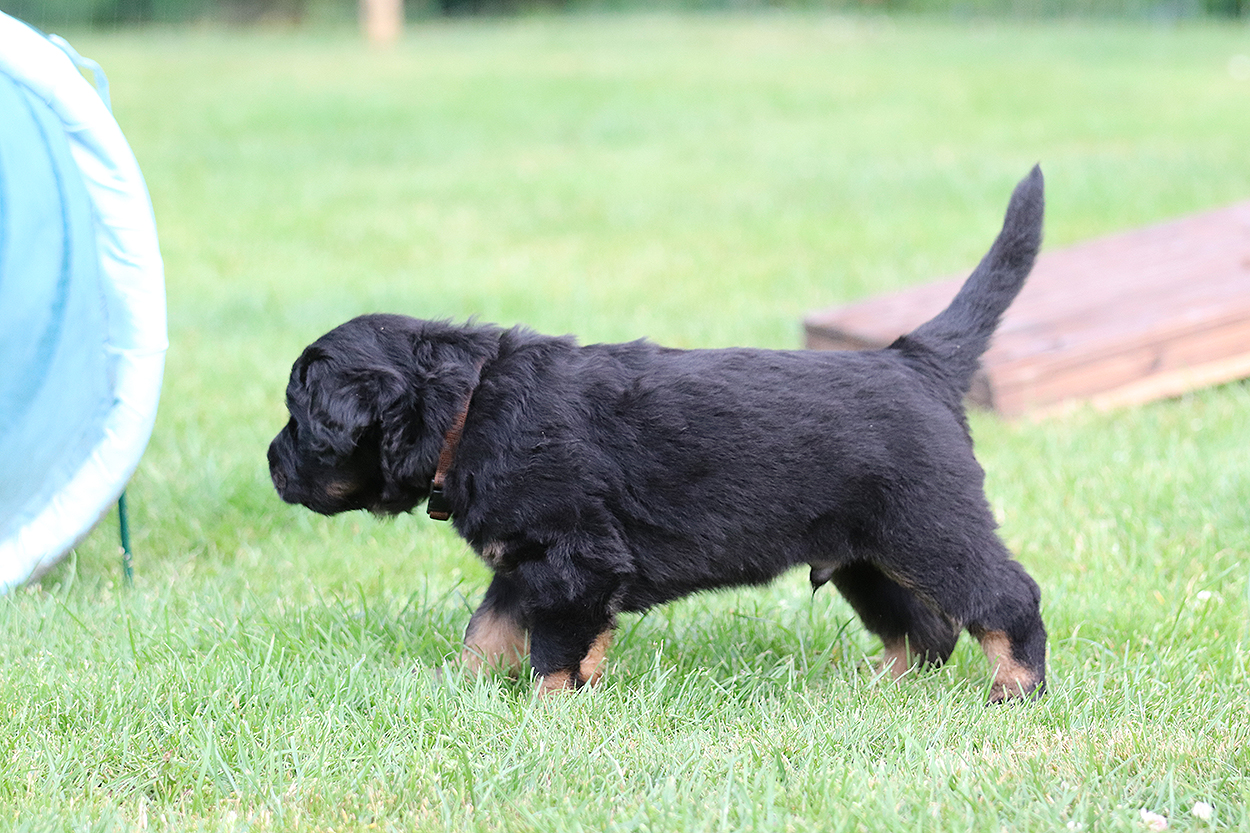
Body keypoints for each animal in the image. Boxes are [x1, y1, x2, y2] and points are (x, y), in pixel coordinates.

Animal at [268, 166, 1047, 702]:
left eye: (299, 420)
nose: (270, 464)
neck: (469, 407)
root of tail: (913, 357)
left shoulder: (575, 556)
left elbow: (555, 648)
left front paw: (549, 709)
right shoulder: (523, 564)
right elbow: (487, 631)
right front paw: (461, 688)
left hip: (929, 524)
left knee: (1006, 598)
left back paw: (1016, 689)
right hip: (865, 552)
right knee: (924, 629)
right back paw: (872, 686)